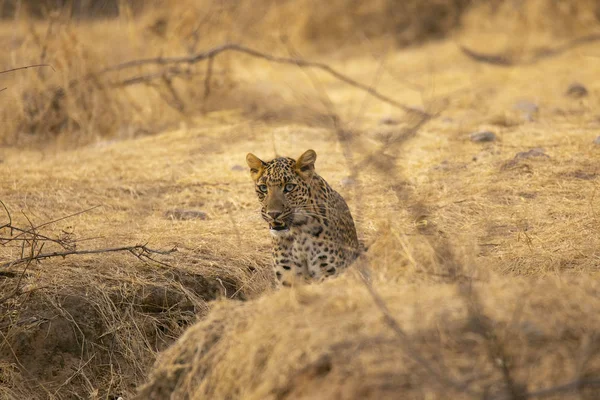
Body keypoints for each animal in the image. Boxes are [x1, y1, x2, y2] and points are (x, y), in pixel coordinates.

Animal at [245, 148, 358, 286]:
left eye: (289, 187)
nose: (273, 214)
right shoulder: (286, 274)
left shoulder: (330, 270)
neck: (298, 231)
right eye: (263, 188)